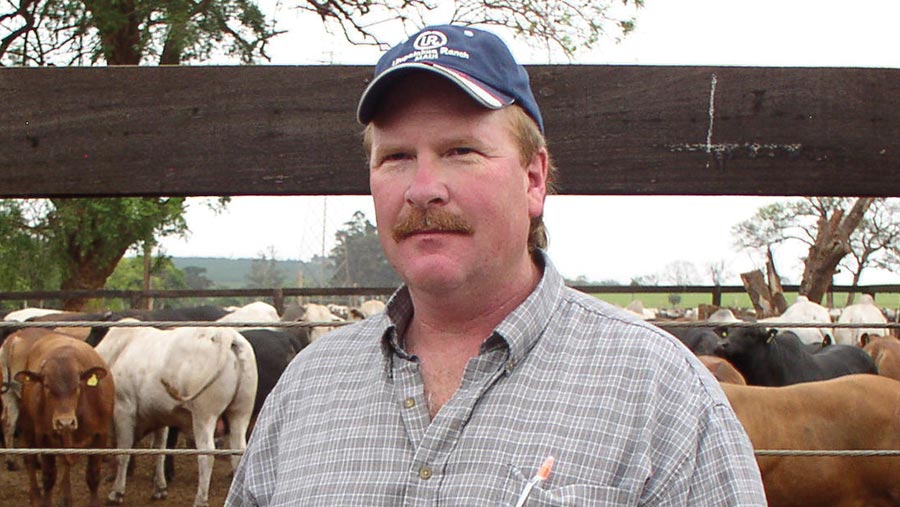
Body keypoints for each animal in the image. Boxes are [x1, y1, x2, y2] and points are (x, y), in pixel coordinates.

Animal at [13, 334, 115, 507]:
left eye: (78, 386)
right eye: (46, 386)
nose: (65, 422)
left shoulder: (101, 434)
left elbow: (93, 476)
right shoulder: (44, 437)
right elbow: (48, 476)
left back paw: (65, 497)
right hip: (27, 425)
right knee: (30, 459)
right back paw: (36, 496)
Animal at [95, 322, 256, 507]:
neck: (118, 351)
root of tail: (225, 334)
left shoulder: (124, 409)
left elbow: (123, 452)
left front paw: (117, 492)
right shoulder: (159, 415)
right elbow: (159, 449)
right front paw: (160, 488)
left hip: (204, 416)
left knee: (207, 455)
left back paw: (200, 500)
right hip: (240, 414)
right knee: (239, 452)